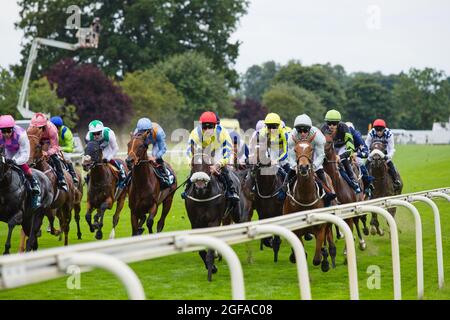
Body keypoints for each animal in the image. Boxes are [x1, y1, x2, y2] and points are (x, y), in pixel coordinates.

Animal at [184, 146, 244, 282]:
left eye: (208, 165)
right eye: (193, 165)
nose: (200, 187)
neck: (203, 197)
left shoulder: (213, 221)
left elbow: (210, 250)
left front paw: (211, 269)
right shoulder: (195, 223)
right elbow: (202, 249)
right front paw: (211, 266)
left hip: (235, 213)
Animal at [284, 138, 336, 272]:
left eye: (311, 149)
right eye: (295, 150)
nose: (303, 167)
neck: (305, 198)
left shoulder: (320, 228)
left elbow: (317, 258)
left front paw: (324, 261)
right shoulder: (296, 230)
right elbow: (302, 251)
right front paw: (294, 256)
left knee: (328, 234)